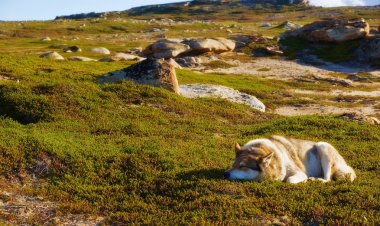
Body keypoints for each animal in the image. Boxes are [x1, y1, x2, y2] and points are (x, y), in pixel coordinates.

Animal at [223, 136, 356, 184]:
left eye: (243, 166)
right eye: (233, 165)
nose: (225, 174)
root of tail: (345, 165)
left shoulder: (299, 173)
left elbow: (289, 180)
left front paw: (304, 181)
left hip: (323, 146)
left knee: (328, 179)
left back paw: (317, 180)